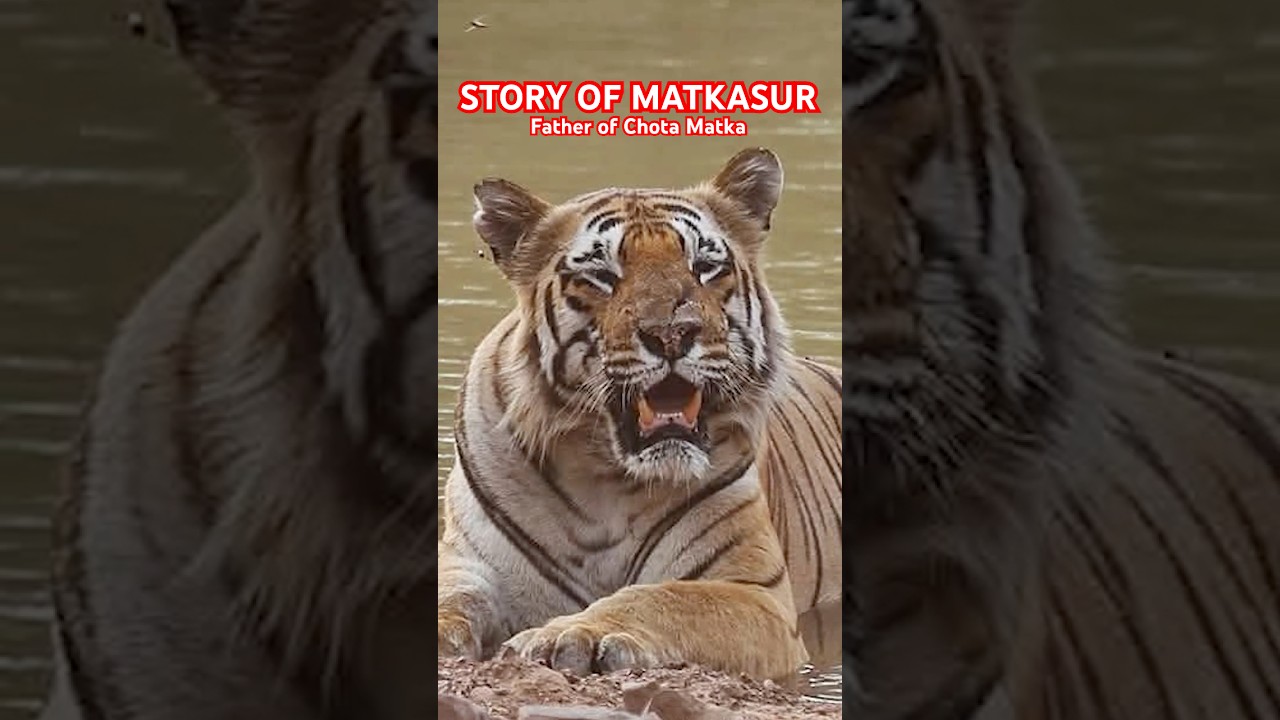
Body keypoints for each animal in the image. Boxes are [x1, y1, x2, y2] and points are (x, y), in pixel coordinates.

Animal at [436, 147, 843, 680]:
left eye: (705, 267)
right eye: (601, 276)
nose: (672, 333)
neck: (604, 477)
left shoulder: (757, 595)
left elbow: (660, 599)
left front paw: (573, 633)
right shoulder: (468, 563)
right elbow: (449, 599)